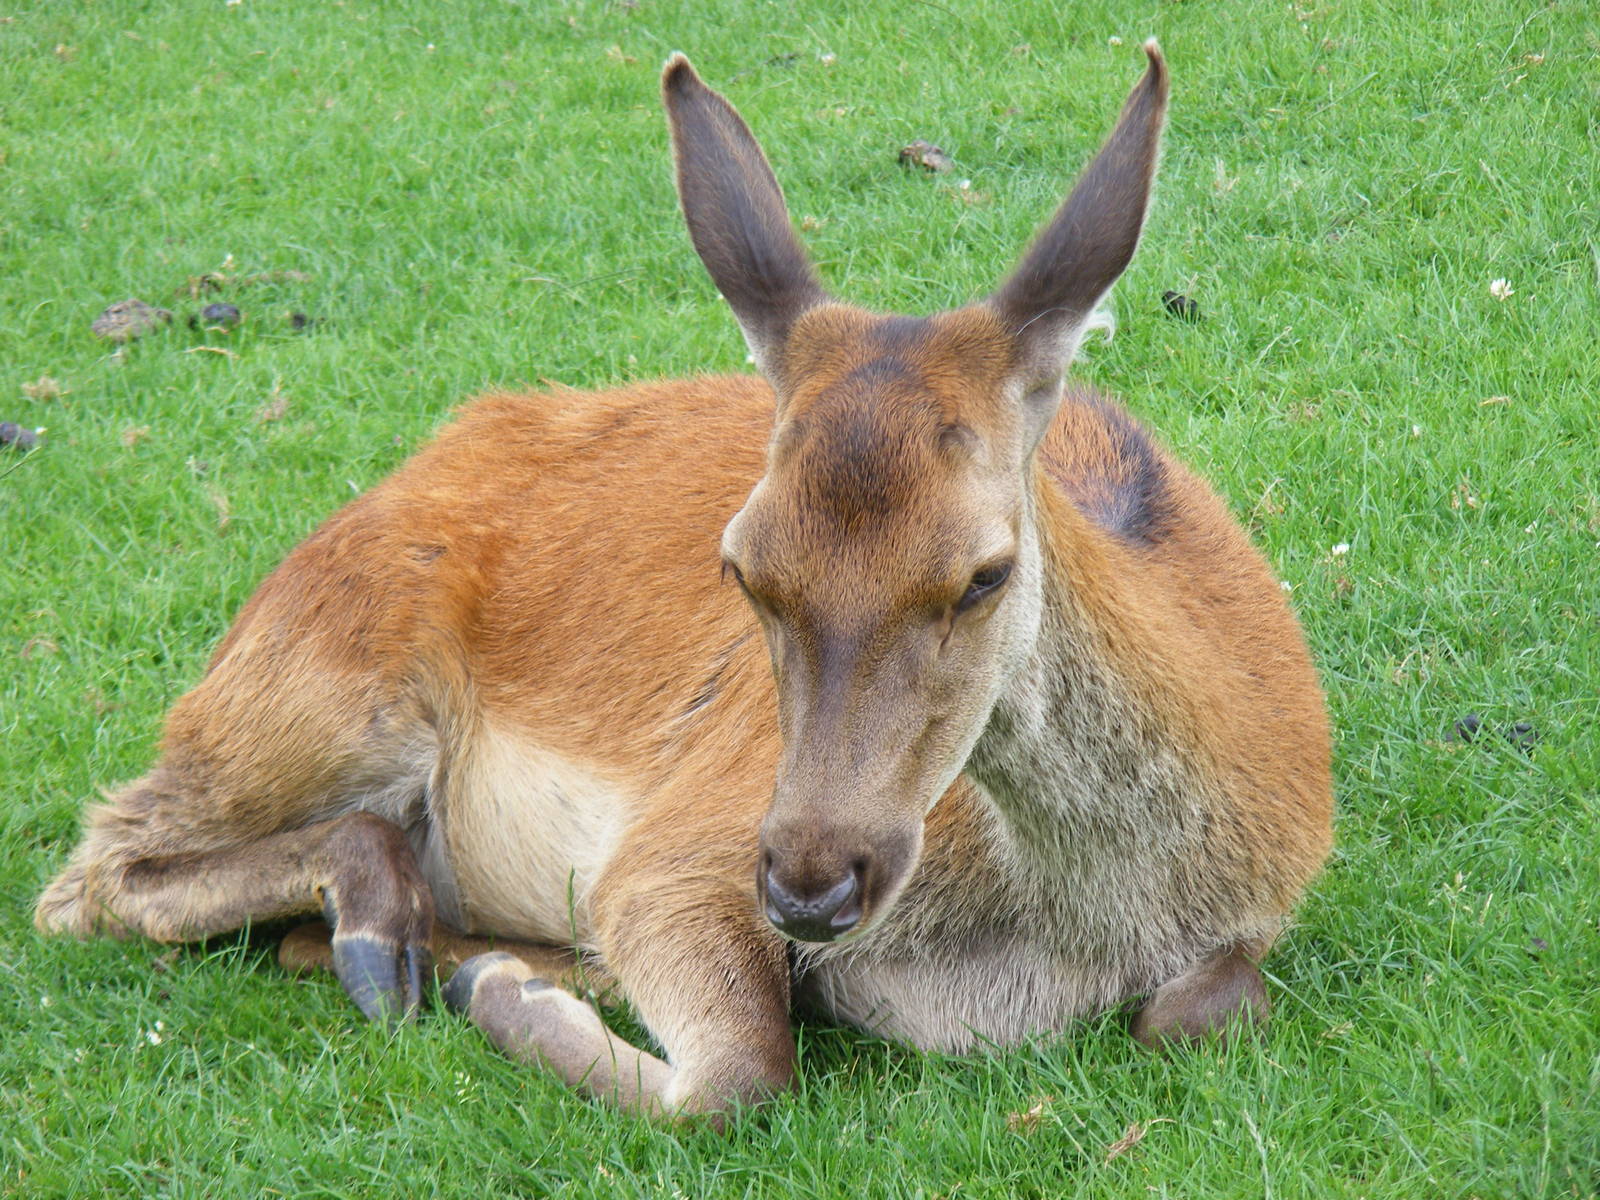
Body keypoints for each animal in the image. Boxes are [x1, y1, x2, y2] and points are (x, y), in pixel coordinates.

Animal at [36, 43, 1332, 1120]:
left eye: (983, 573)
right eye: (741, 568)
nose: (810, 880)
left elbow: (1203, 1008)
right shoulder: (678, 847)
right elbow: (736, 1074)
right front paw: (512, 997)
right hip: (316, 689)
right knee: (89, 872)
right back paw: (389, 942)